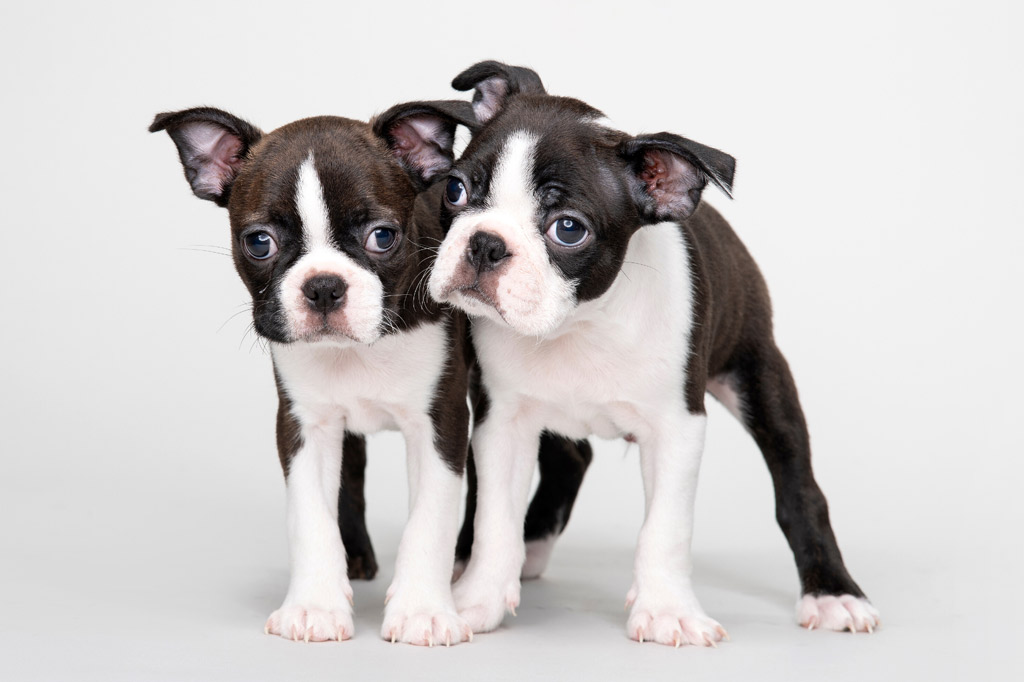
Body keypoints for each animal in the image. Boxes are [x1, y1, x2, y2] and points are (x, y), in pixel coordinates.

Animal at [150, 100, 487, 643]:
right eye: (259, 242)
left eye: (383, 237)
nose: (324, 285)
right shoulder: (303, 424)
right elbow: (310, 516)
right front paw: (315, 605)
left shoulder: (440, 421)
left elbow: (429, 518)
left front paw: (422, 610)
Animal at [385, 62, 880, 643]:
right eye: (457, 190)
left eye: (568, 229)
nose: (485, 244)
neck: (581, 324)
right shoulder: (502, 421)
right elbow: (494, 519)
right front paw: (476, 599)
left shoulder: (677, 428)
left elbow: (665, 528)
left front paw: (668, 610)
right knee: (569, 458)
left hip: (760, 373)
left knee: (798, 485)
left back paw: (833, 593)